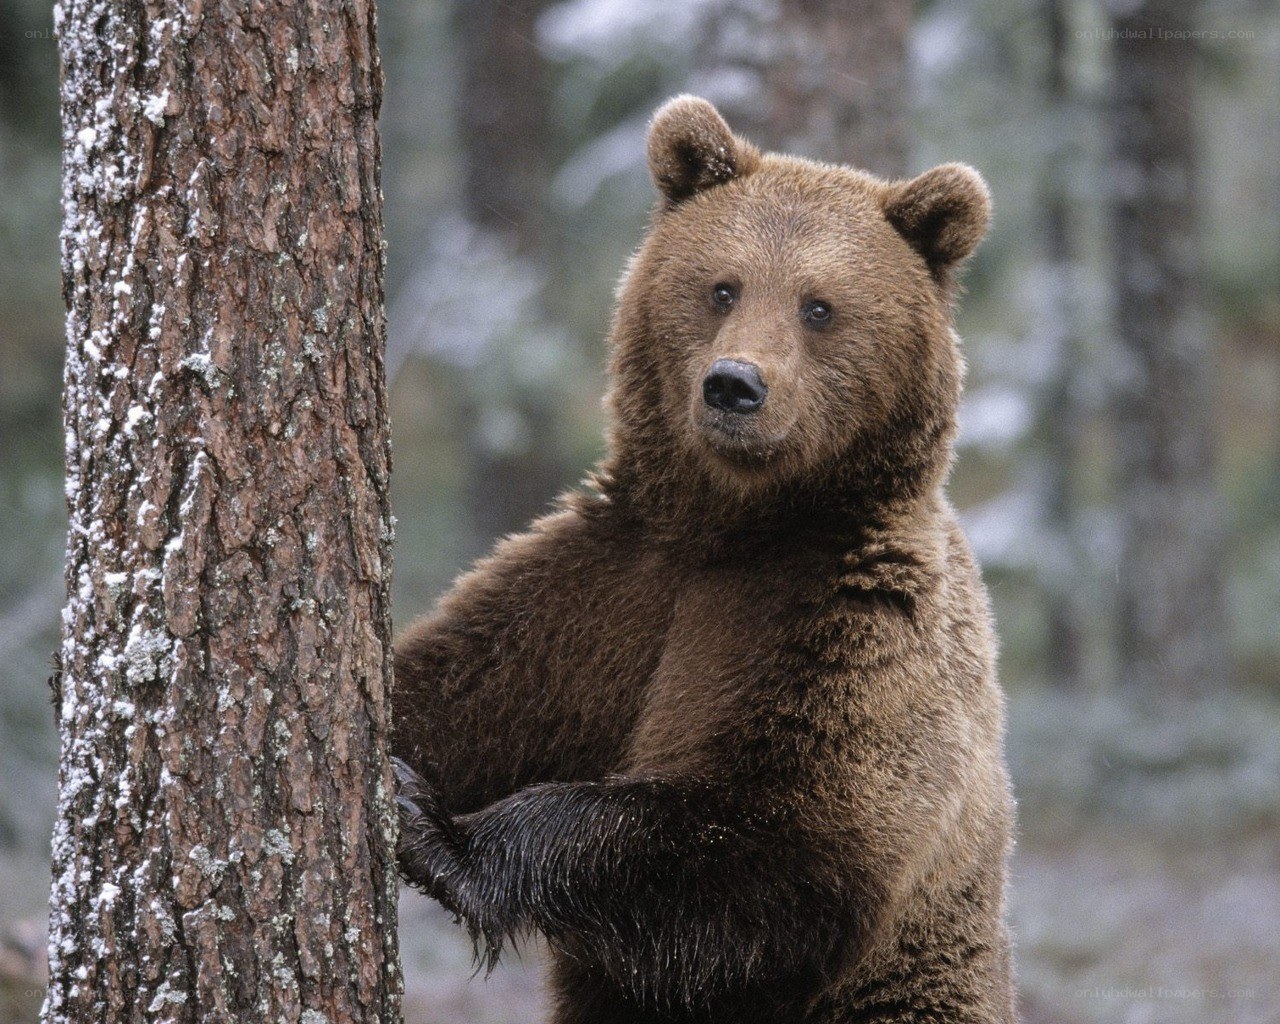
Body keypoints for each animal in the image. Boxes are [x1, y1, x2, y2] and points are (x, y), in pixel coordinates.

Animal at [392, 95, 1016, 1024]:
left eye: (819, 306)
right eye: (723, 286)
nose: (734, 385)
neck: (736, 527)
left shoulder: (848, 626)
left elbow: (773, 844)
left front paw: (440, 834)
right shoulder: (605, 591)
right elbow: (456, 687)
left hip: (910, 996)